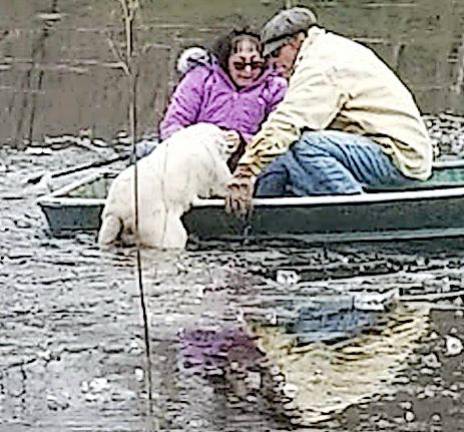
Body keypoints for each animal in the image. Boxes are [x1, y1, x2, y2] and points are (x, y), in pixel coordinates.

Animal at [96, 123, 237, 248]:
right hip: (153, 218)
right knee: (173, 237)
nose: (234, 136)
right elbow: (220, 182)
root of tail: (115, 211)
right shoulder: (208, 162)